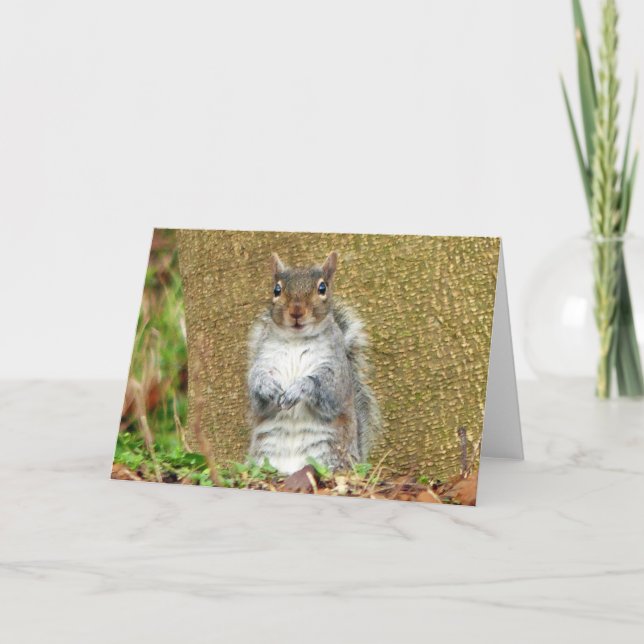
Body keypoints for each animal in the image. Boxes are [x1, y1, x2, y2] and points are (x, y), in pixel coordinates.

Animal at [247, 251, 380, 492]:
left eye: (322, 288)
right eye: (276, 290)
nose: (296, 311)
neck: (296, 340)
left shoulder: (336, 369)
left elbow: (326, 387)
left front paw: (299, 389)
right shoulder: (263, 359)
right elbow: (255, 385)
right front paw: (268, 387)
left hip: (330, 453)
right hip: (264, 455)